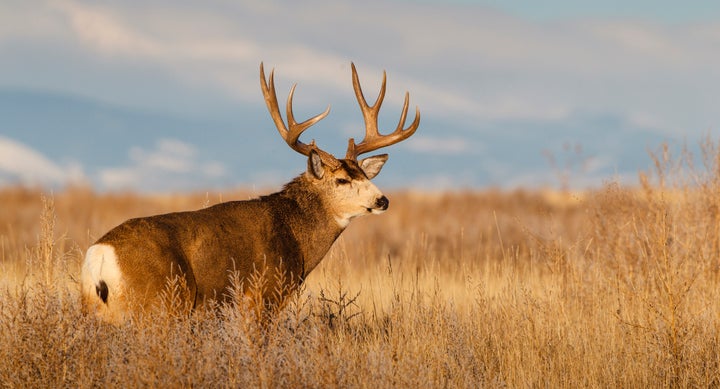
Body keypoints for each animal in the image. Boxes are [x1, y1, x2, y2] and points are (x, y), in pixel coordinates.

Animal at [79, 61, 420, 322]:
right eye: (341, 180)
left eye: (363, 173)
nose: (382, 200)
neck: (293, 234)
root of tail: (100, 257)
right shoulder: (263, 296)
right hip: (161, 303)